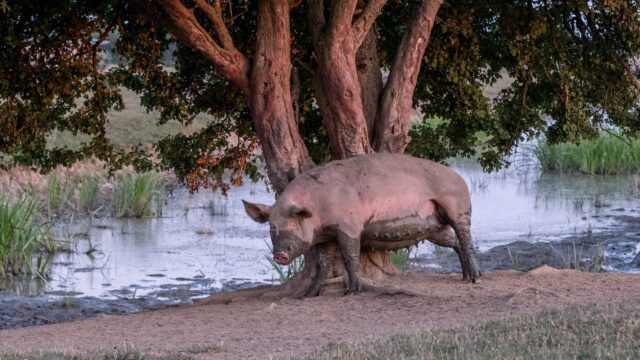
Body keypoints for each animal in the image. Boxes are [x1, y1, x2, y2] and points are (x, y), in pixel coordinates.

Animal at [245, 152, 480, 296]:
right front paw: (310, 294)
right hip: (436, 228)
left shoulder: (349, 226)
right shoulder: (324, 237)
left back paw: (476, 279)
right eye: (272, 226)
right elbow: (322, 264)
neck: (319, 207)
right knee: (455, 243)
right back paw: (465, 277)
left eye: (293, 224)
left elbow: (350, 256)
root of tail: (461, 178)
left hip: (458, 209)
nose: (279, 255)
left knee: (466, 239)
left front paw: (351, 291)